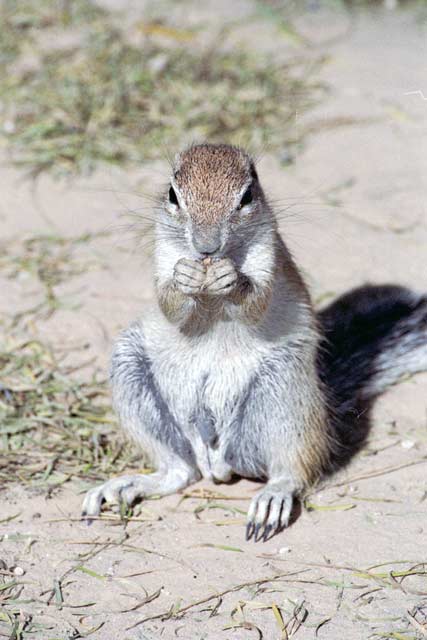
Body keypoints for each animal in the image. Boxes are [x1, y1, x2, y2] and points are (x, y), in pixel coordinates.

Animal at [82, 143, 427, 542]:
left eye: (246, 196)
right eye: (172, 195)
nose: (206, 247)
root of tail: (217, 461)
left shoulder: (268, 254)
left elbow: (256, 302)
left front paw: (232, 278)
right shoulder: (162, 254)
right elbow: (170, 305)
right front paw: (185, 278)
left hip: (285, 394)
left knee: (292, 468)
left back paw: (272, 497)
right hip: (131, 369)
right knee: (179, 472)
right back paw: (125, 485)